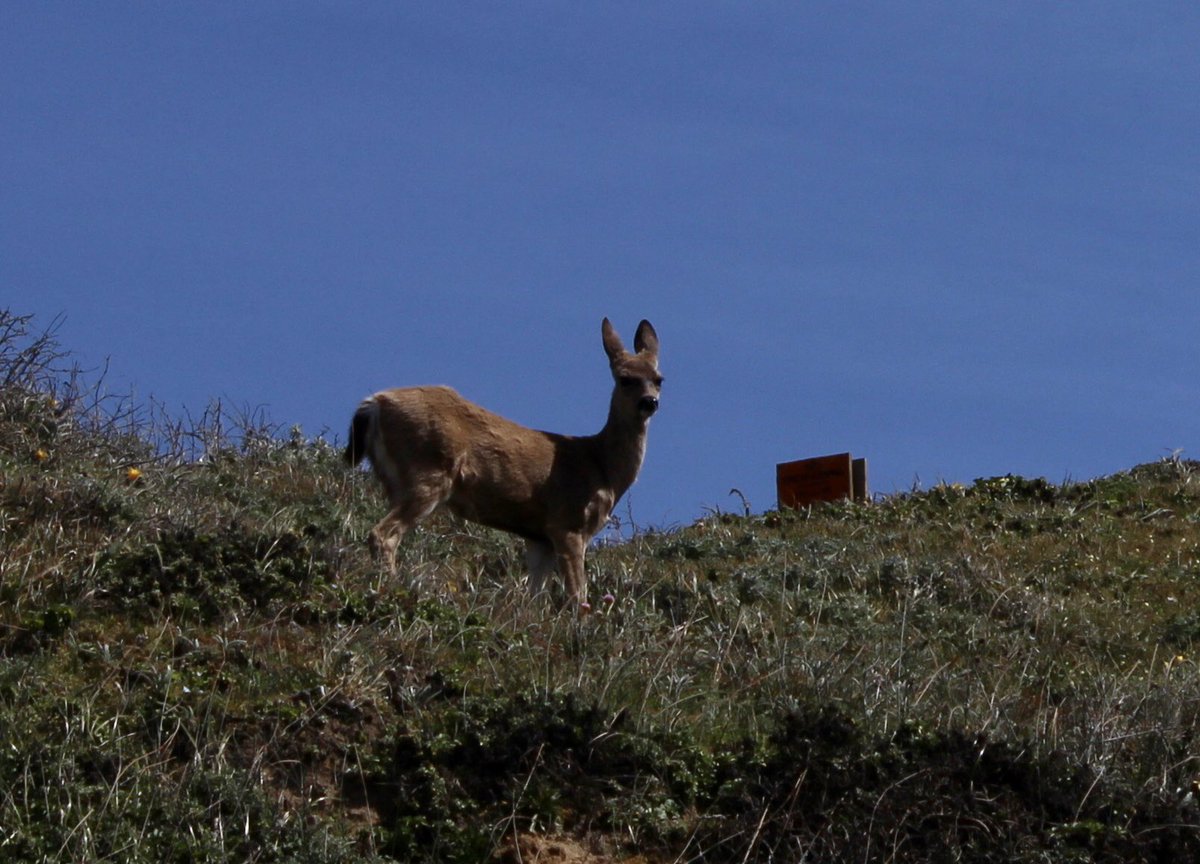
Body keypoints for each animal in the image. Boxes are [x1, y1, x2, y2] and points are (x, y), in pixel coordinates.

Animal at [345, 316, 667, 607]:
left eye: (659, 380)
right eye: (625, 379)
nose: (649, 402)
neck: (601, 465)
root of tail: (373, 404)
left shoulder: (539, 537)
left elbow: (534, 595)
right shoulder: (568, 523)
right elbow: (578, 596)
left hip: (394, 478)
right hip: (427, 472)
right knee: (383, 535)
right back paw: (395, 588)